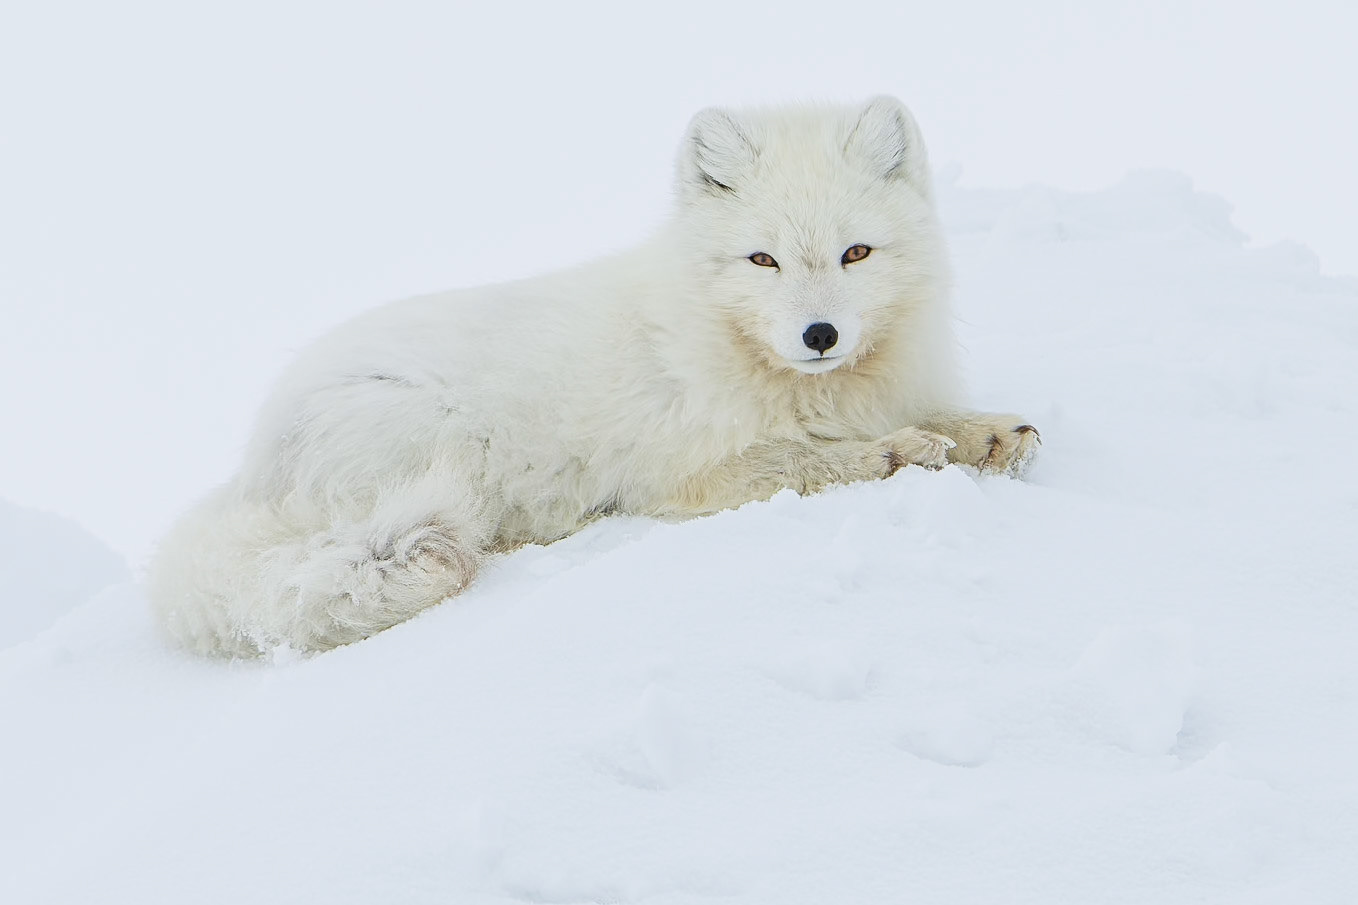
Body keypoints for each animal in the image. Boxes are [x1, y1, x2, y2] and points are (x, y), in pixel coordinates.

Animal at [148, 96, 1040, 656]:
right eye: (763, 259)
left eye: (856, 253)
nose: (819, 334)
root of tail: (250, 471)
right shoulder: (680, 475)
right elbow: (803, 459)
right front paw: (891, 455)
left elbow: (945, 420)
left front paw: (988, 432)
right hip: (440, 448)